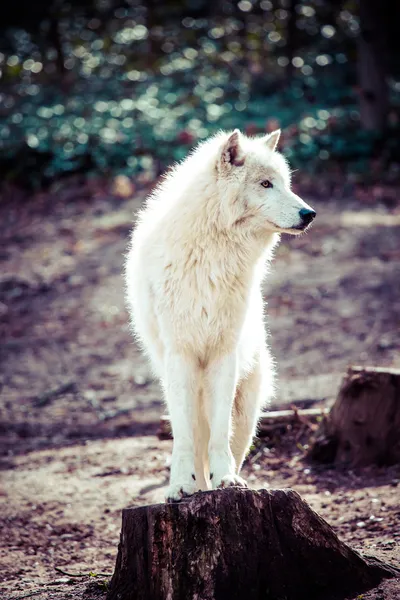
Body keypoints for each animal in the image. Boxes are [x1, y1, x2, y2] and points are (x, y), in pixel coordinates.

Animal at [125, 129, 316, 500]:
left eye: (285, 183)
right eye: (266, 184)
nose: (310, 213)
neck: (213, 254)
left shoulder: (223, 354)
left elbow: (219, 434)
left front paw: (226, 479)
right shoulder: (181, 355)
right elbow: (184, 439)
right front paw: (179, 485)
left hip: (247, 411)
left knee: (231, 441)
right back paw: (197, 487)